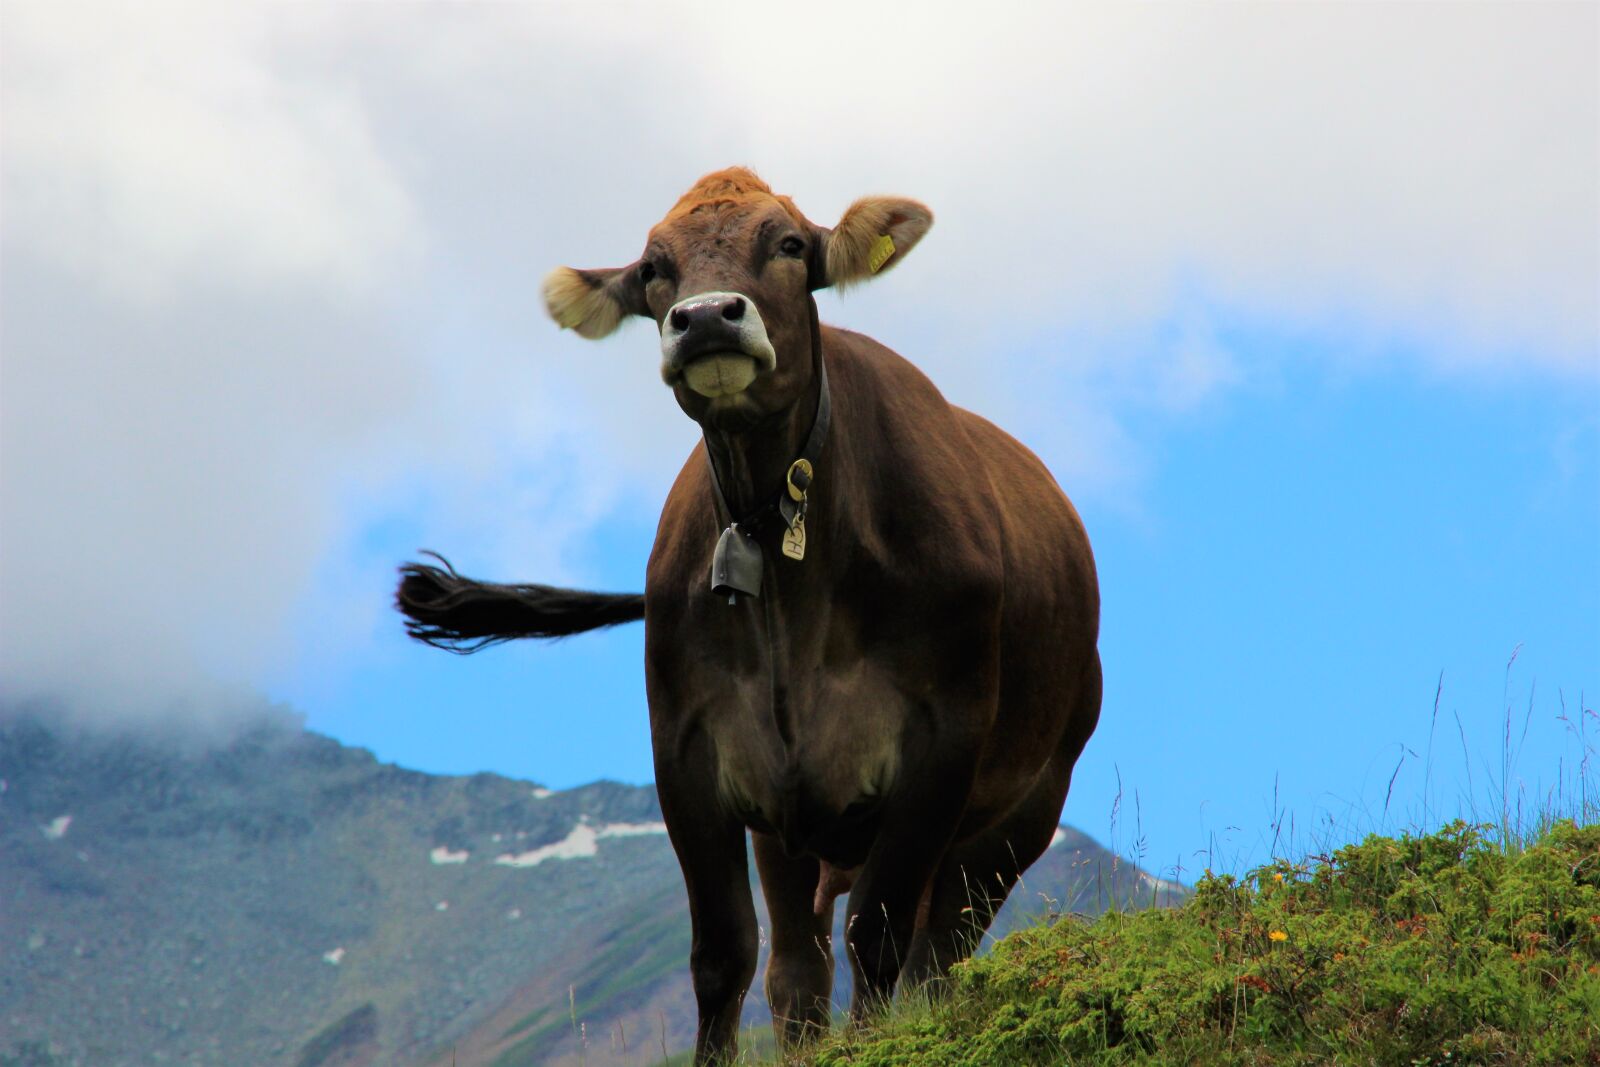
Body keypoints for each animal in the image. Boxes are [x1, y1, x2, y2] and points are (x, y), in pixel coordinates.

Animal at [398, 171, 1100, 1062]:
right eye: (653, 268)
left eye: (790, 243)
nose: (704, 318)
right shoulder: (688, 753)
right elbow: (724, 952)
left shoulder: (943, 742)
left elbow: (879, 932)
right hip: (790, 824)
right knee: (799, 965)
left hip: (1027, 804)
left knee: (935, 952)